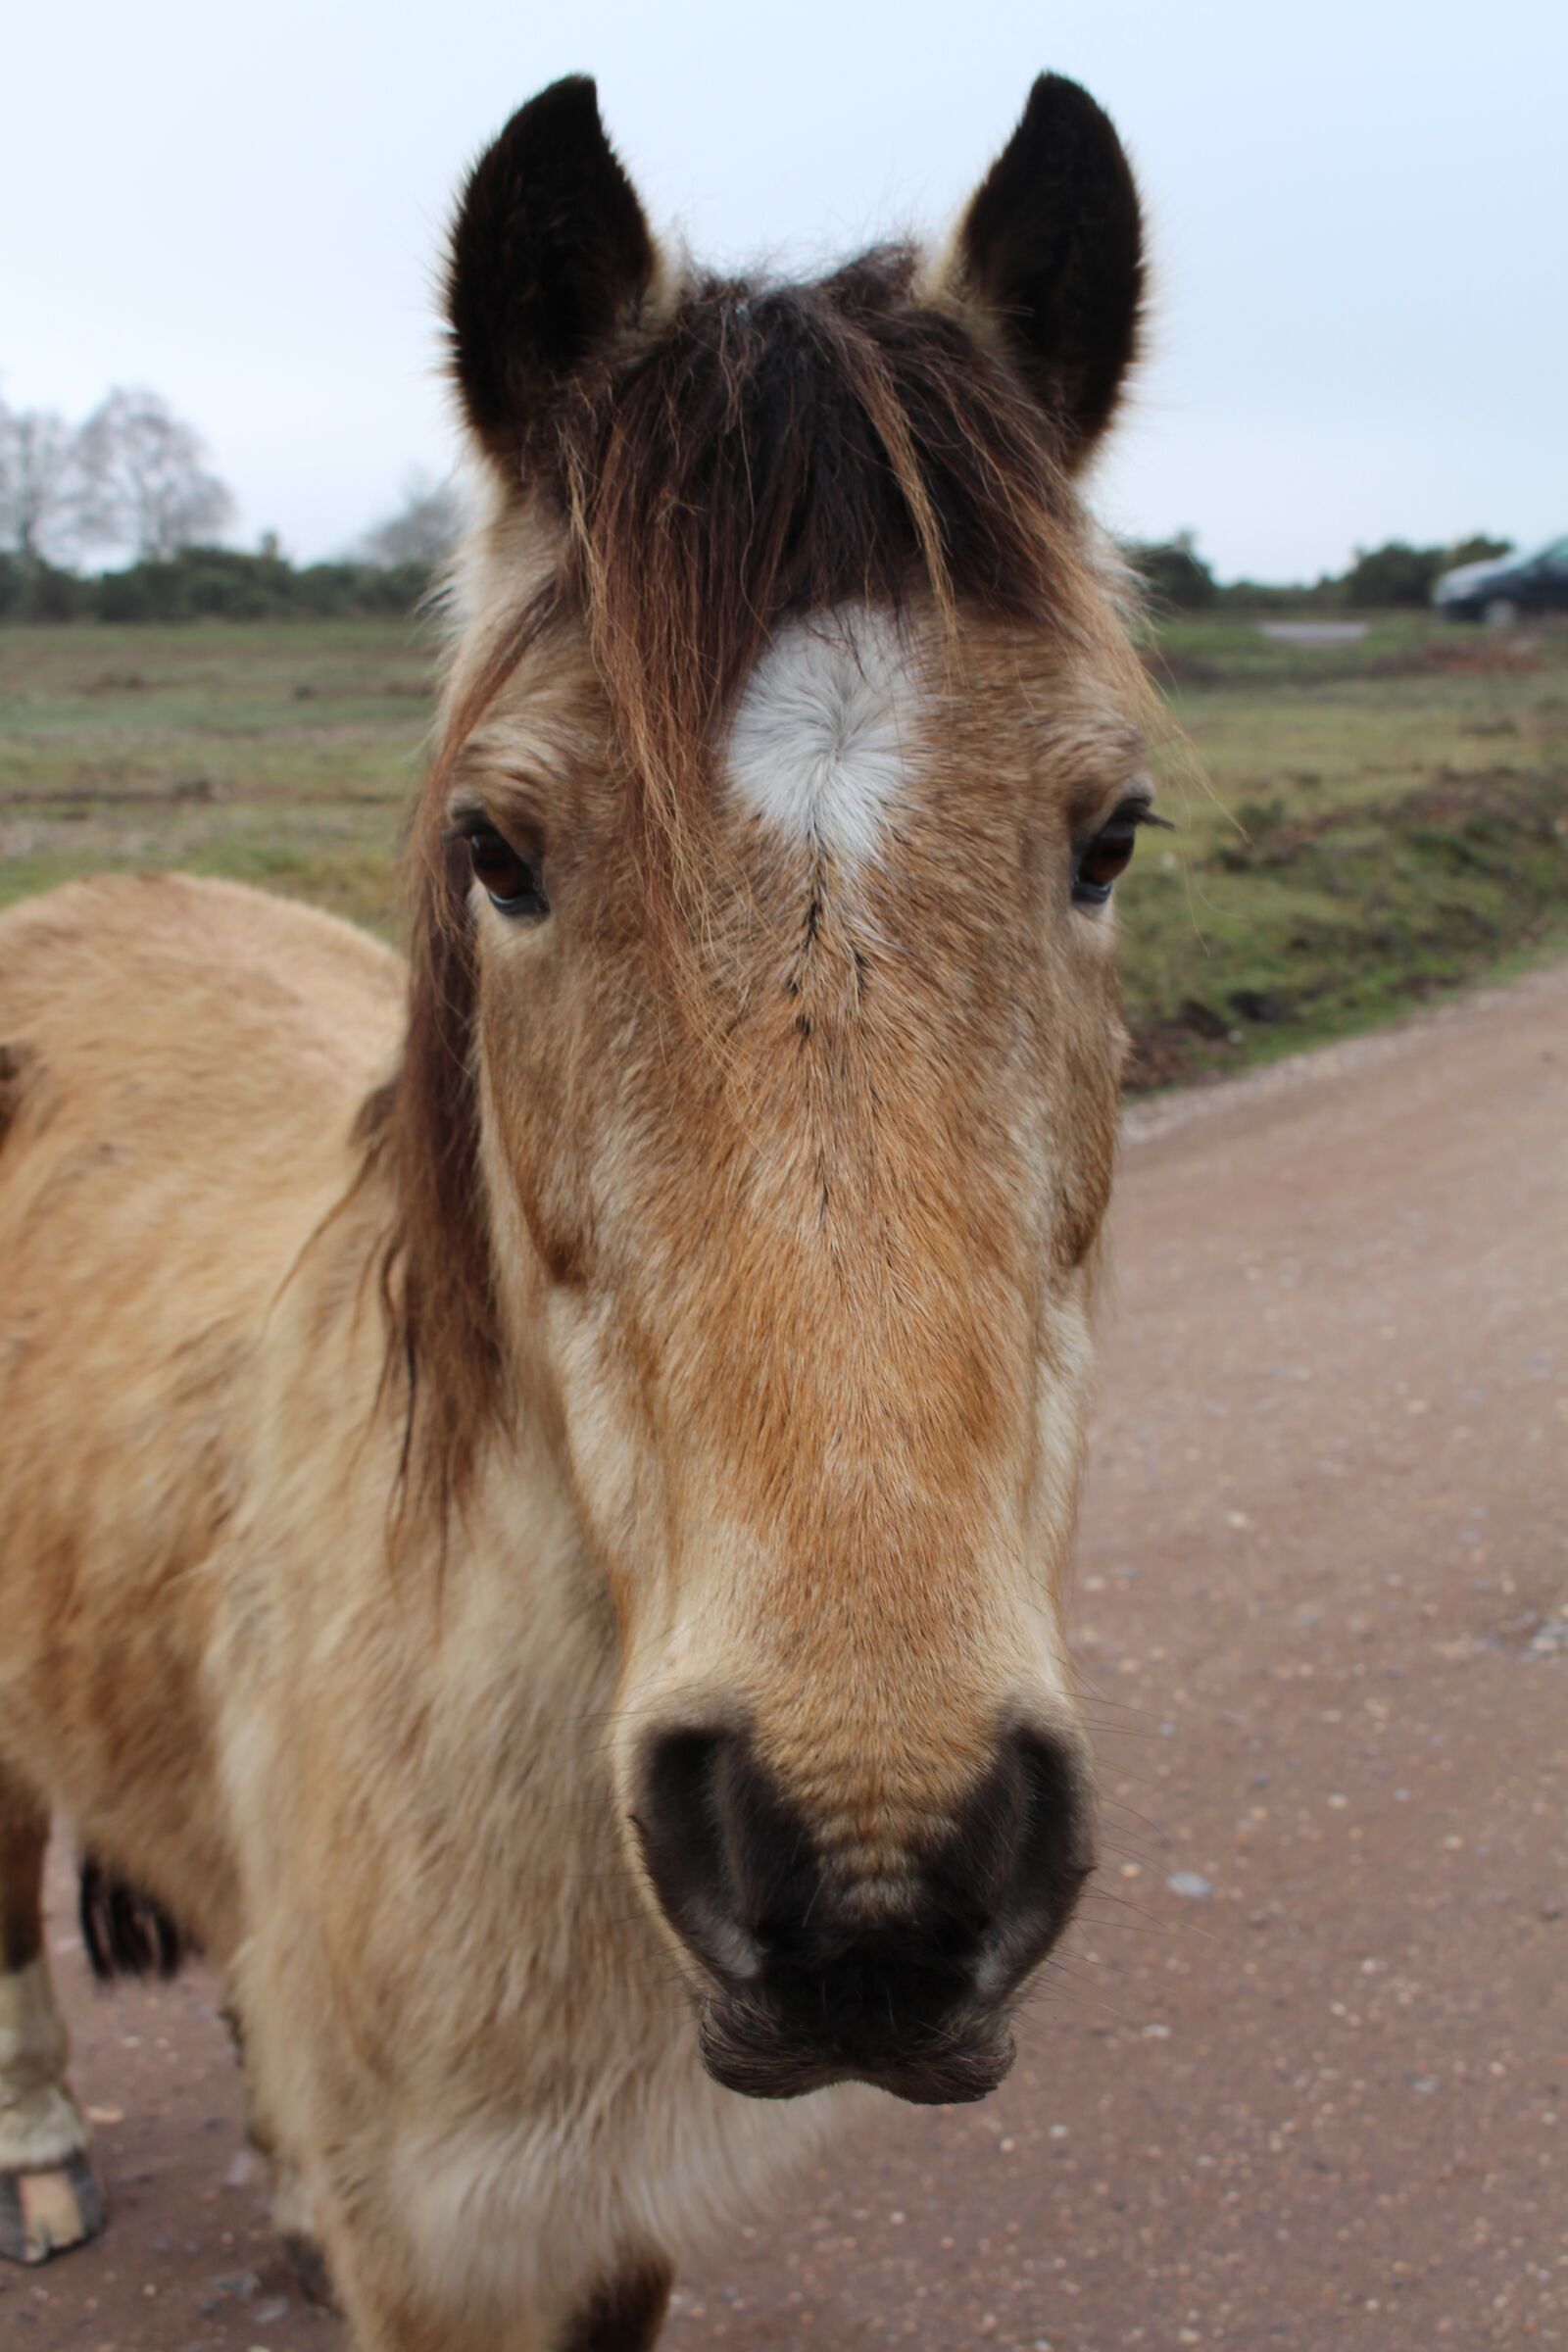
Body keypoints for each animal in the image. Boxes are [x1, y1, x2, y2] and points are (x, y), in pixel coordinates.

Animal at [0, 70, 1153, 2351]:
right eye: (500, 852)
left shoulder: (591, 2223)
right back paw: (44, 2156)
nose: (871, 1864)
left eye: (1109, 834)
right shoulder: (448, 2250)